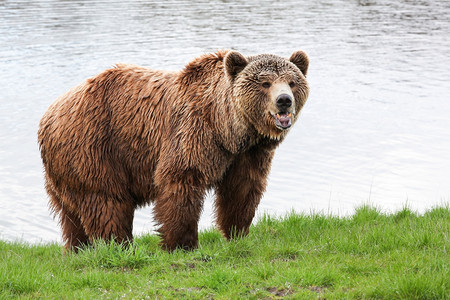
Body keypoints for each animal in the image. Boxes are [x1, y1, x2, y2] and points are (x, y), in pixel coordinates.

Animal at [37, 49, 310, 251]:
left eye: (292, 82)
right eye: (265, 83)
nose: (284, 100)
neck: (229, 129)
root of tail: (49, 113)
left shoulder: (248, 154)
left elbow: (242, 189)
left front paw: (237, 233)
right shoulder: (193, 131)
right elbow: (181, 181)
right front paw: (182, 244)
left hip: (64, 170)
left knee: (72, 216)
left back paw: (79, 248)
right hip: (93, 147)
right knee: (106, 201)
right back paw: (119, 245)